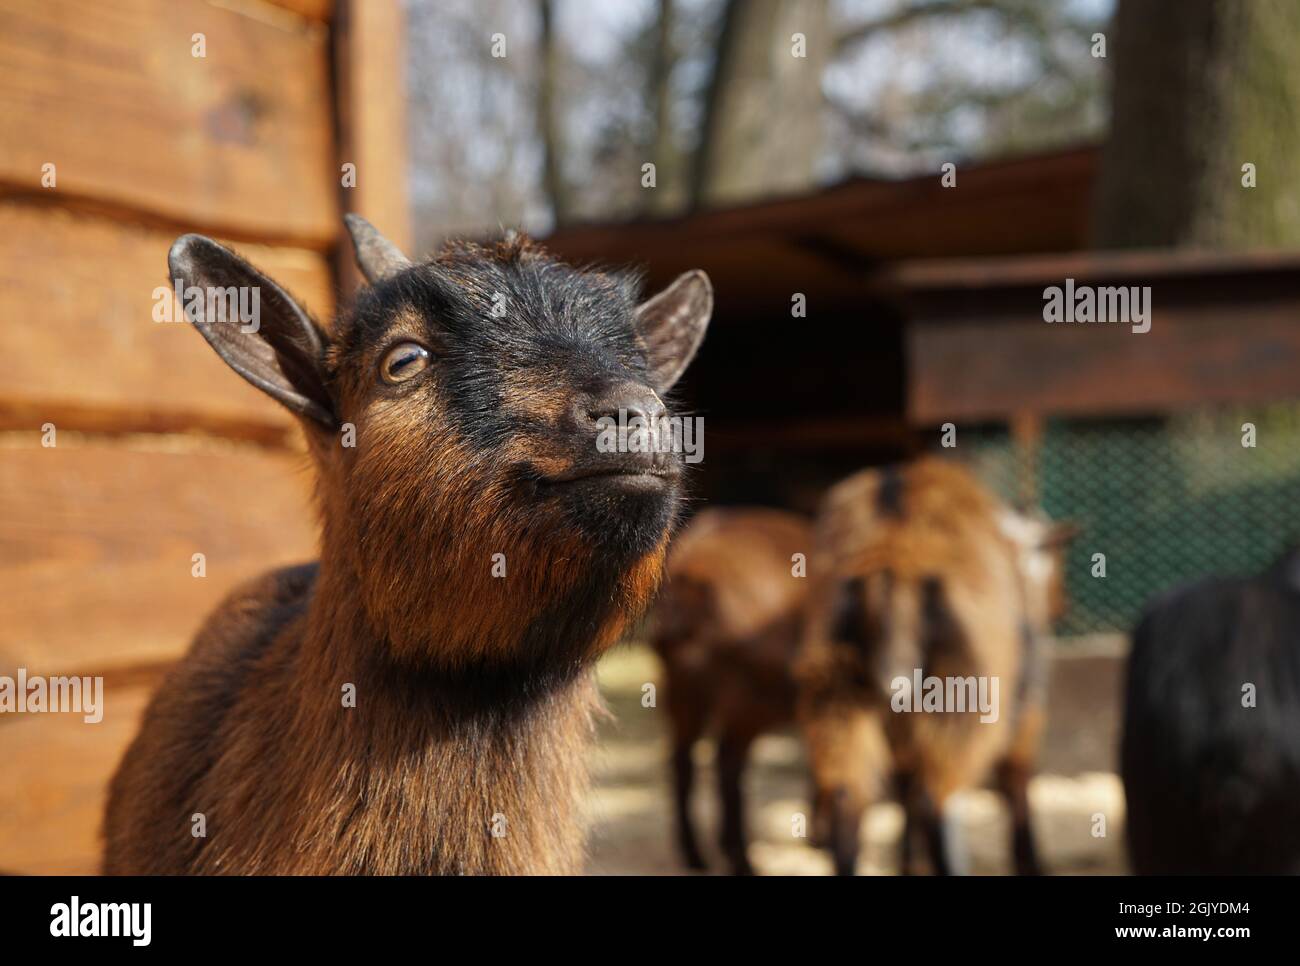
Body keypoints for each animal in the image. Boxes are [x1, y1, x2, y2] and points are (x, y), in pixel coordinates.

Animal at [650, 507, 813, 875]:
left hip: (683, 690)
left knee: (683, 758)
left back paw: (697, 854)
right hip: (744, 702)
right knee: (727, 763)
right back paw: (740, 859)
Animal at [795, 458, 1072, 875]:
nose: (1061, 606)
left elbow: (903, 788)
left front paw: (910, 862)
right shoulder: (1025, 707)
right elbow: (1015, 780)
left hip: (835, 686)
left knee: (849, 795)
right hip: (960, 695)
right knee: (934, 796)